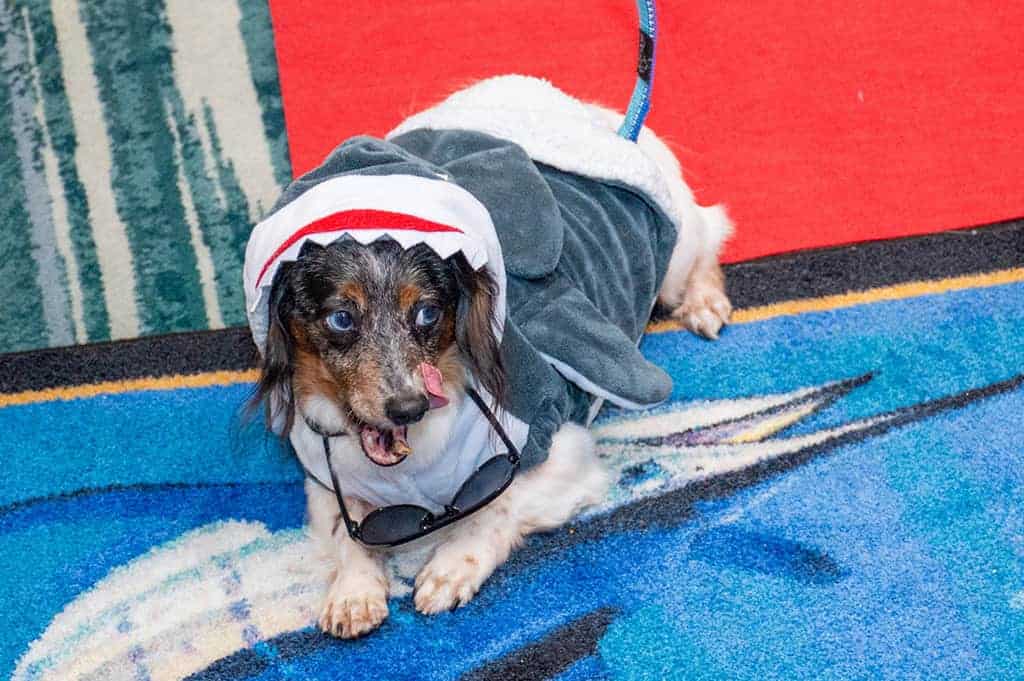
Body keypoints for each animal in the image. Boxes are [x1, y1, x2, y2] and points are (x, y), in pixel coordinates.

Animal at [244, 76, 732, 638]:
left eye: (428, 312)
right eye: (341, 318)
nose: (408, 407)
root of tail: (604, 116)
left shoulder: (563, 454)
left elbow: (496, 509)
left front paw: (452, 565)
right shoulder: (324, 484)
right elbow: (350, 535)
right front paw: (354, 592)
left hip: (675, 256)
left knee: (710, 237)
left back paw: (705, 303)